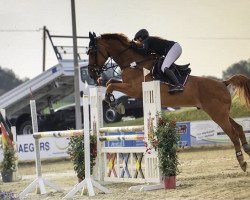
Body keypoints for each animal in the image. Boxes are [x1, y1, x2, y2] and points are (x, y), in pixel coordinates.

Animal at [87, 31, 250, 172]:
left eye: (92, 52)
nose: (91, 74)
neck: (133, 62)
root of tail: (223, 83)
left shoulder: (134, 89)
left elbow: (111, 85)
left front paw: (111, 101)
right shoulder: (128, 86)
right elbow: (112, 82)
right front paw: (112, 101)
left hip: (218, 115)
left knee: (233, 134)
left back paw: (242, 162)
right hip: (221, 113)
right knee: (239, 128)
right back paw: (247, 149)